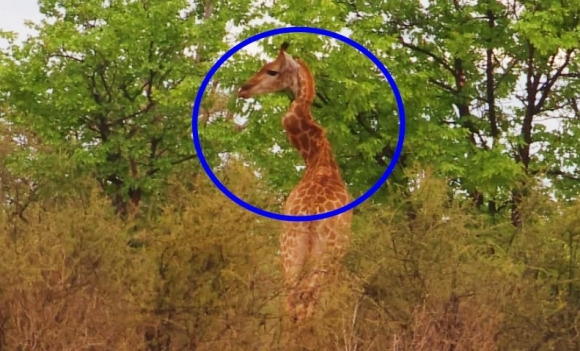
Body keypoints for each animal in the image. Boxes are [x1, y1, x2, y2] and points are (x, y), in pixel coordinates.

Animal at [237, 42, 354, 326]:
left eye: (272, 70)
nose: (243, 89)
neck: (317, 158)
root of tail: (311, 213)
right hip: (322, 254)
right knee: (305, 302)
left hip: (290, 251)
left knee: (291, 301)